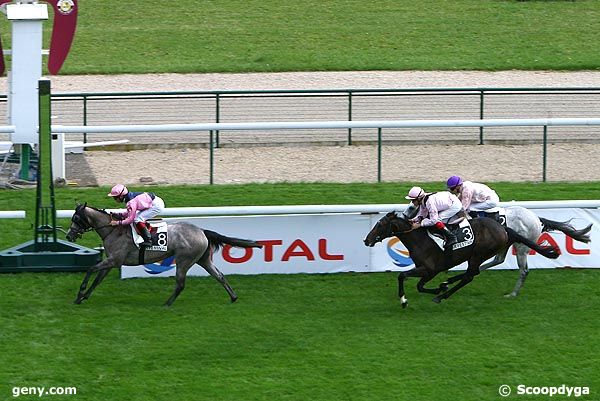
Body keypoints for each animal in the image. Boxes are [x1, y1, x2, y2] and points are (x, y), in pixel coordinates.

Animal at [66, 205, 262, 304]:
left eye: (76, 218)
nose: (69, 235)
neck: (113, 230)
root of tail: (202, 231)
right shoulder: (112, 261)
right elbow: (97, 279)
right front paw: (83, 297)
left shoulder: (114, 260)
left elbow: (90, 269)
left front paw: (79, 294)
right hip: (203, 259)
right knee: (219, 275)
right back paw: (233, 297)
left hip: (184, 260)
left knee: (181, 284)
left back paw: (167, 303)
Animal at [364, 211, 560, 308]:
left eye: (380, 225)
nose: (366, 240)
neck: (420, 239)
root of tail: (503, 228)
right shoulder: (426, 271)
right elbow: (418, 285)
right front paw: (437, 288)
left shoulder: (429, 269)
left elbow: (402, 276)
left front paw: (404, 300)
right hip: (479, 255)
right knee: (473, 272)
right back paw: (445, 286)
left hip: (478, 254)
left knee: (470, 275)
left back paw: (442, 295)